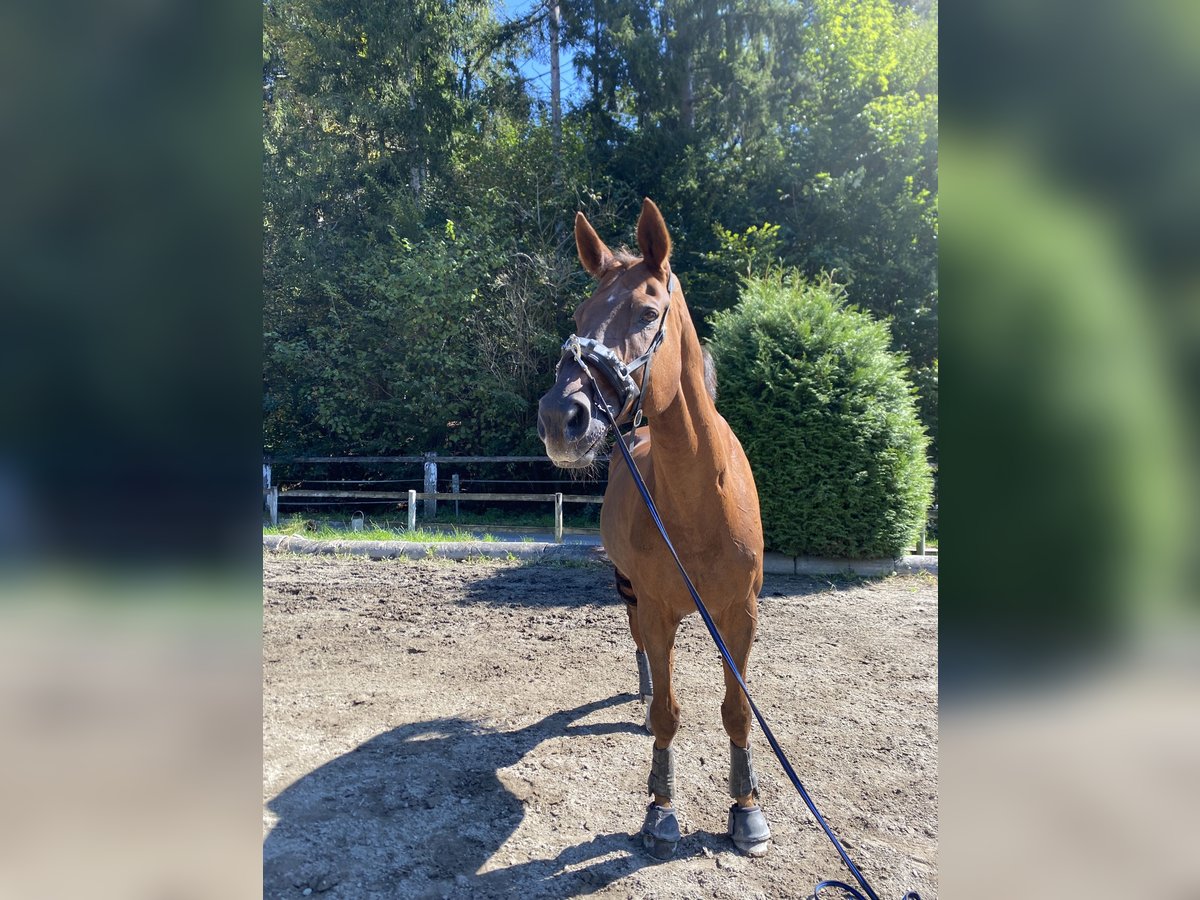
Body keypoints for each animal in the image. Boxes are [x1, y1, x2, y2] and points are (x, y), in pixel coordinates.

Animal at [535, 196, 768, 859]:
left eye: (646, 311)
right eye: (580, 315)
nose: (560, 417)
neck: (700, 504)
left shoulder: (739, 615)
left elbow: (738, 710)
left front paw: (746, 811)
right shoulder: (662, 610)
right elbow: (668, 712)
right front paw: (661, 812)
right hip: (629, 588)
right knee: (640, 643)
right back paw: (640, 693)